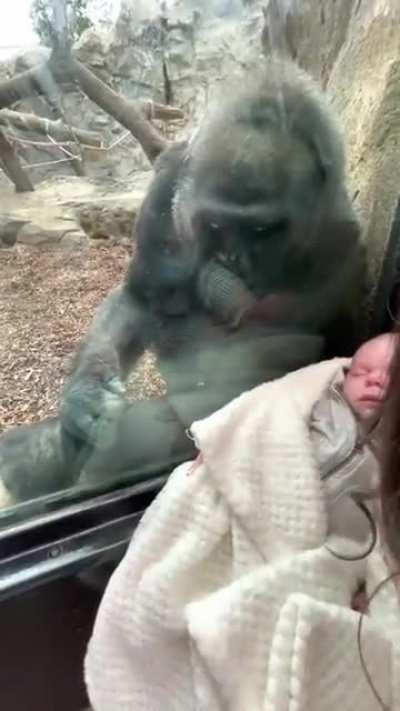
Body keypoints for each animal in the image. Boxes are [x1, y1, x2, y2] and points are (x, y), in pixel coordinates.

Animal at [0, 59, 365, 503]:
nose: (230, 259)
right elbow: (141, 297)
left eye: (262, 230)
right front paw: (86, 396)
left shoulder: (342, 237)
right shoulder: (170, 177)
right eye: (216, 225)